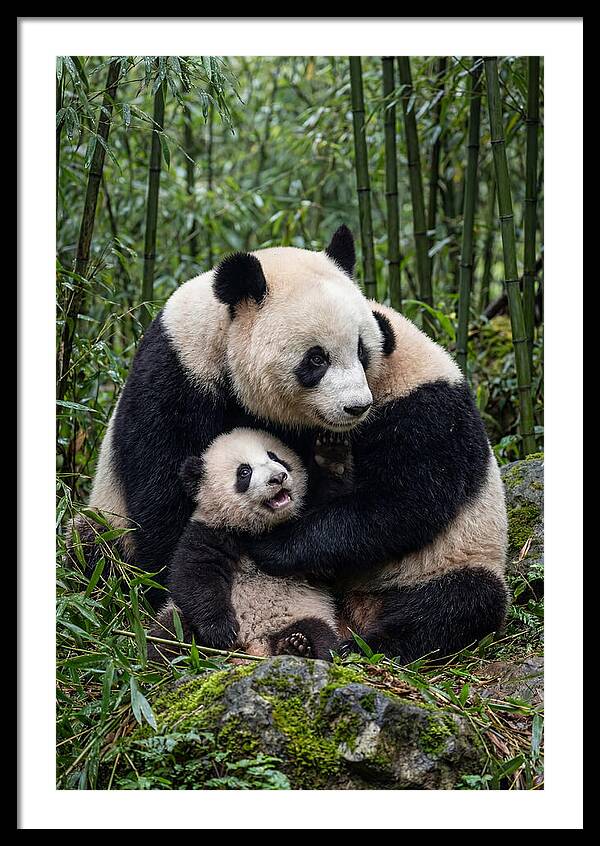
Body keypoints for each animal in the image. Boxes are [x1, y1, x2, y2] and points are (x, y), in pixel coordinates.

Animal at [150, 427, 348, 661]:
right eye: (244, 472)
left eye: (275, 457)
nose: (278, 477)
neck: (257, 527)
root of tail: (254, 644)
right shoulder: (210, 530)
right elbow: (194, 575)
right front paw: (221, 631)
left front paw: (331, 455)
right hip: (178, 617)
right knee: (167, 636)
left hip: (303, 613)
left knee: (320, 635)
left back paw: (297, 647)